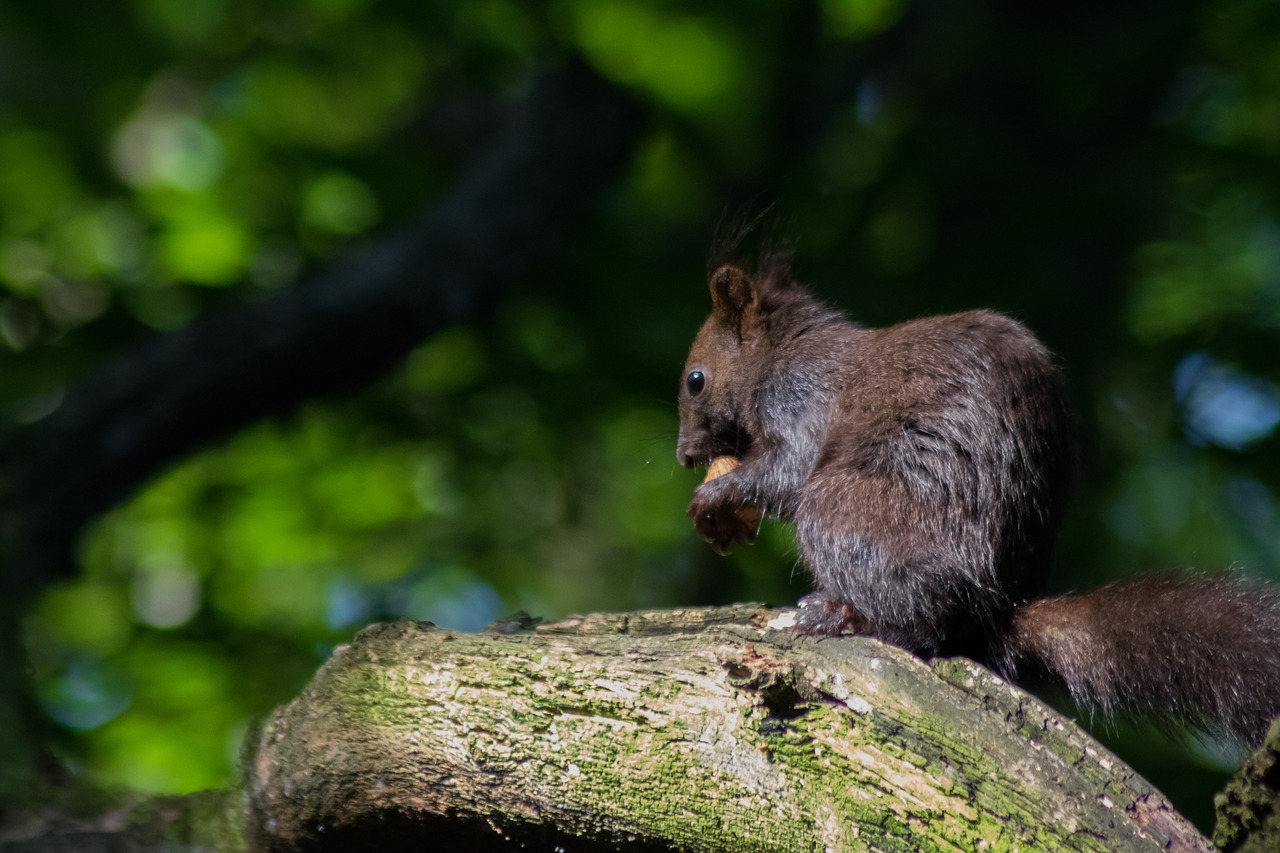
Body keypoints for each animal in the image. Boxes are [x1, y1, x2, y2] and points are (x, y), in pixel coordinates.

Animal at [675, 249, 1280, 742]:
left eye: (695, 380)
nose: (683, 456)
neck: (781, 353)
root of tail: (1001, 606)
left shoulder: (802, 398)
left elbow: (788, 469)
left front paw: (716, 496)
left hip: (842, 511)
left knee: (926, 620)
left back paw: (840, 615)